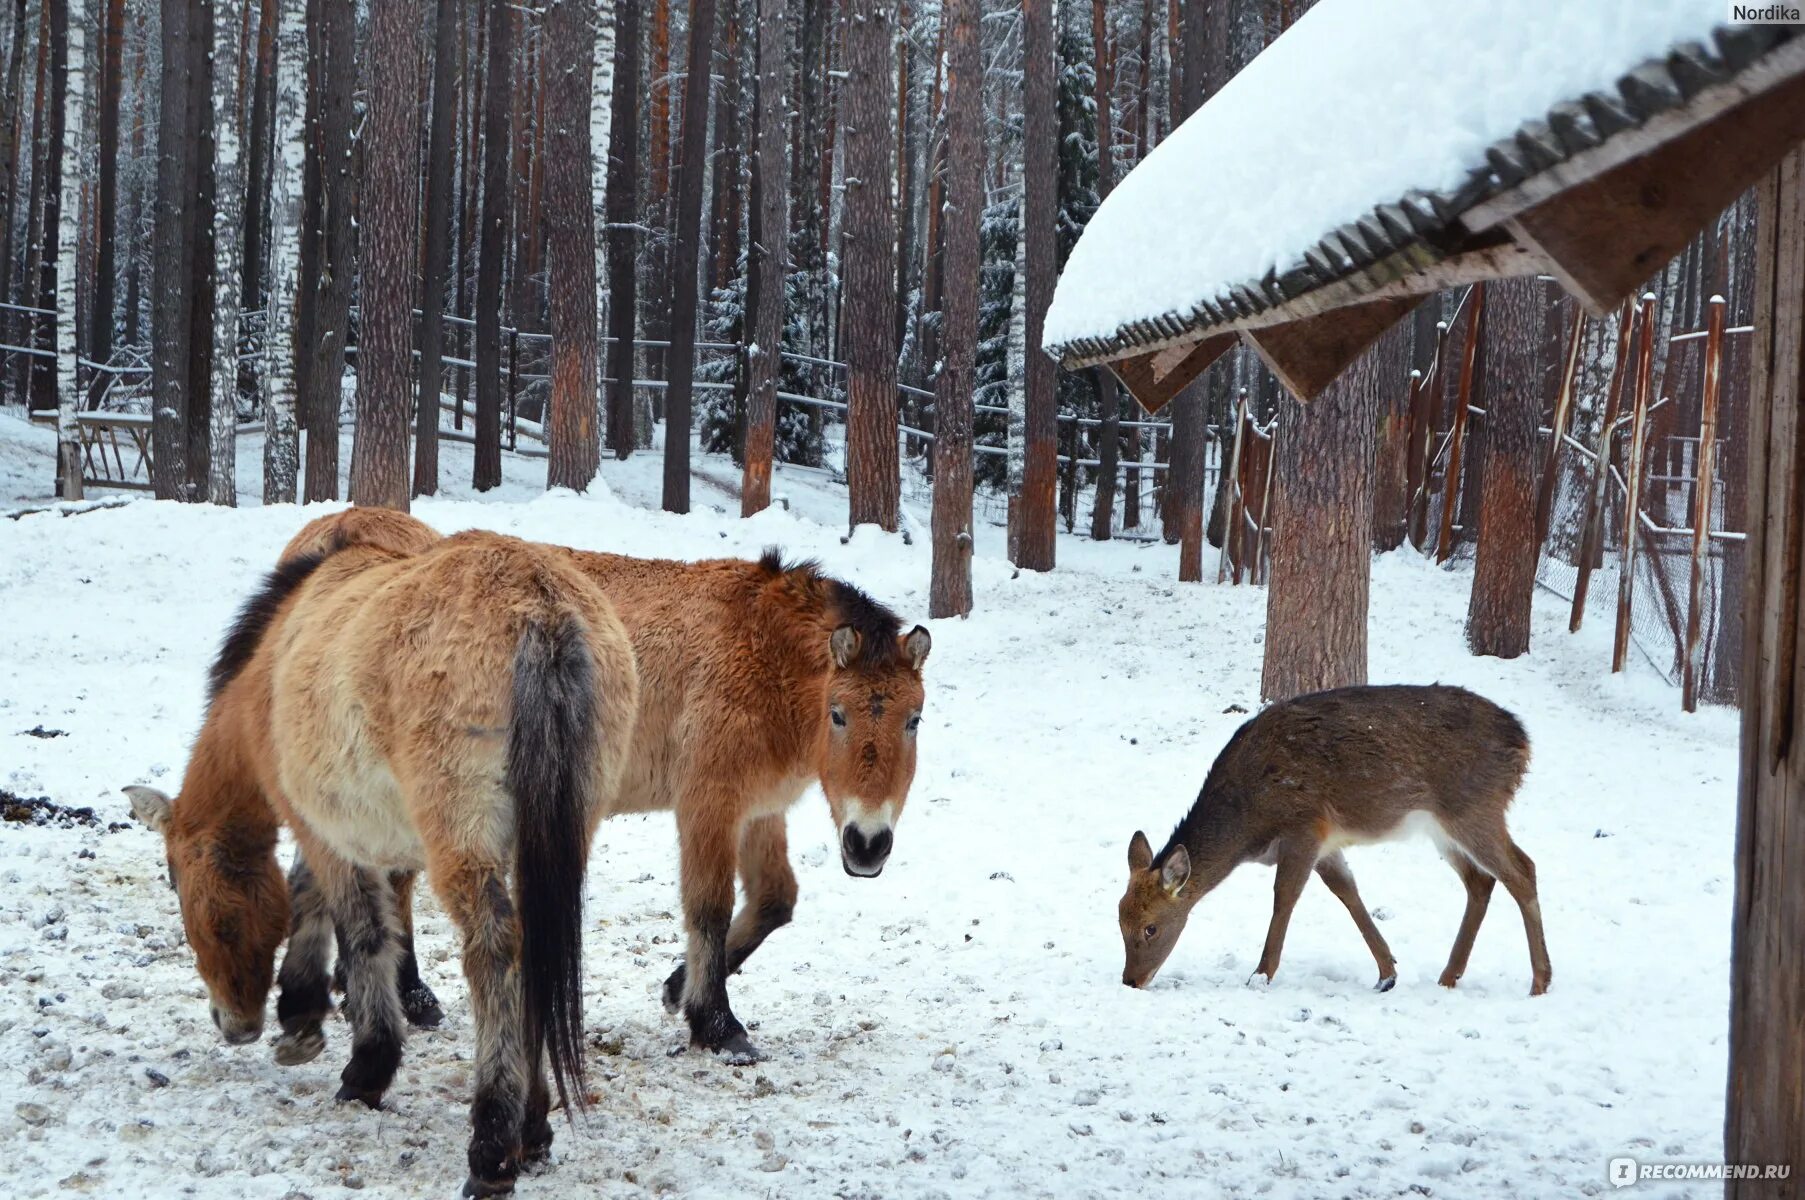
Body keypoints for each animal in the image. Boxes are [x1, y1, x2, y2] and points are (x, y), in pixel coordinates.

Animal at [129, 530, 635, 1190]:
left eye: (178, 884)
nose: (234, 1025)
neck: (274, 662)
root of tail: (541, 609)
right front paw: (307, 1012)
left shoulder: (327, 834)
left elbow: (357, 929)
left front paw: (355, 1056)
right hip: (552, 841)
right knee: (534, 958)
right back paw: (534, 1128)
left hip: (463, 843)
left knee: (495, 952)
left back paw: (494, 1142)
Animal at [274, 512, 938, 1061]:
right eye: (839, 714)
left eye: (914, 719)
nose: (868, 844)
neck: (761, 652)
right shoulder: (708, 804)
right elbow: (708, 908)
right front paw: (716, 1024)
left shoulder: (758, 809)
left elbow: (775, 899)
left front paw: (678, 987)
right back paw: (401, 994)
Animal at [1111, 689, 1552, 996]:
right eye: (1118, 920)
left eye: (1150, 928)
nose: (1131, 981)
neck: (1251, 821)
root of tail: (1524, 740)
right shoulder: (1326, 843)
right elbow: (1347, 891)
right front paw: (1387, 973)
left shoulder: (1305, 825)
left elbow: (1284, 896)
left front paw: (1260, 975)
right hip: (1443, 827)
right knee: (1481, 881)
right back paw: (1448, 976)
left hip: (1474, 808)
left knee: (1522, 870)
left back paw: (1539, 981)